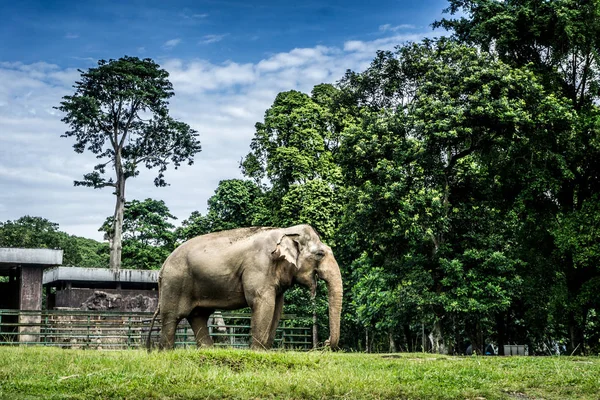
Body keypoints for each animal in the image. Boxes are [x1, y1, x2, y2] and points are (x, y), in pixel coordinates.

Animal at [147, 225, 342, 350]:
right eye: (320, 254)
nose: (325, 343)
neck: (286, 231)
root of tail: (163, 267)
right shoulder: (259, 266)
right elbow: (262, 303)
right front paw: (256, 352)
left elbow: (277, 308)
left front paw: (264, 351)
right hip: (175, 282)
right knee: (172, 317)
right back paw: (166, 352)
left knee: (198, 316)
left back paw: (209, 351)